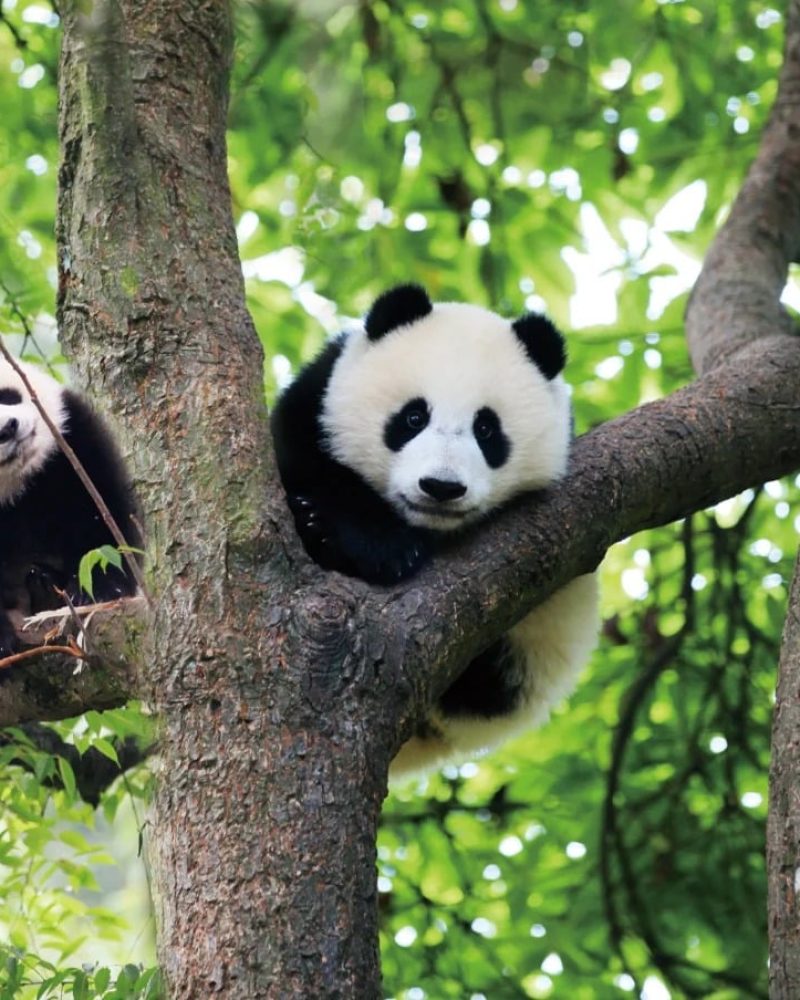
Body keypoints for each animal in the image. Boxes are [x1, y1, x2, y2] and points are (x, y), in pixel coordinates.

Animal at [271, 284, 598, 777]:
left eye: (487, 429)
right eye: (413, 418)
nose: (441, 487)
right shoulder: (317, 399)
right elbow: (302, 456)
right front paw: (365, 539)